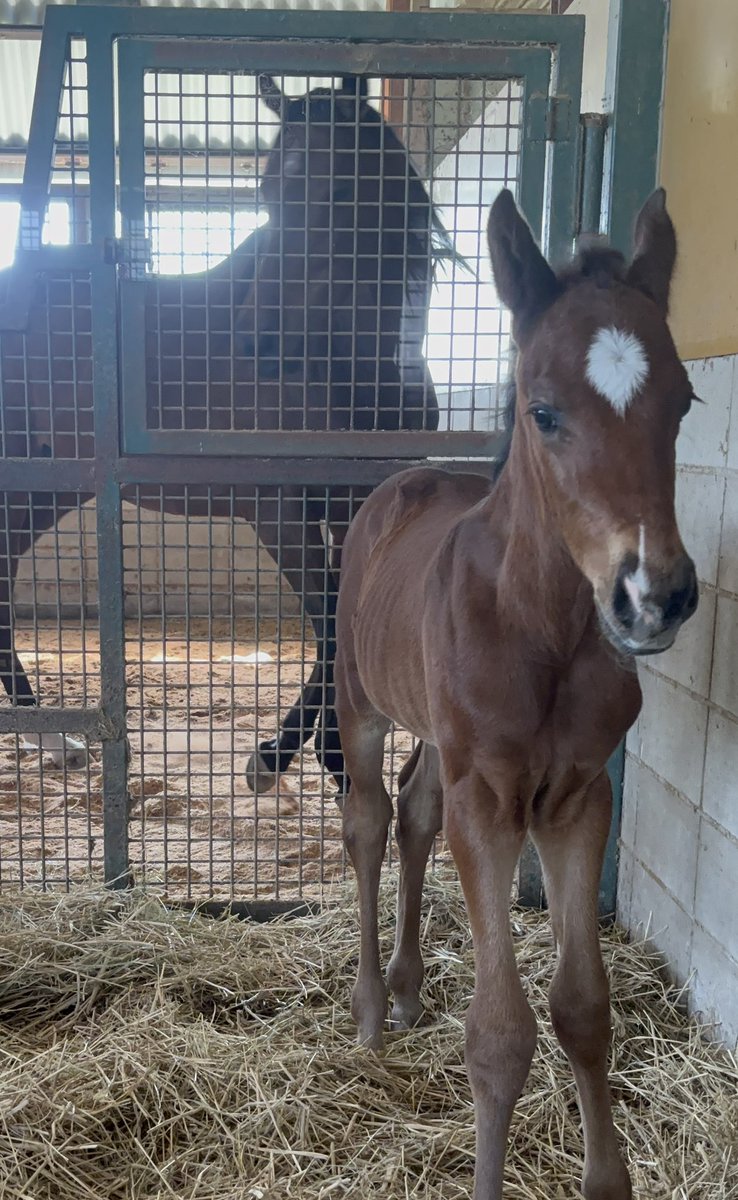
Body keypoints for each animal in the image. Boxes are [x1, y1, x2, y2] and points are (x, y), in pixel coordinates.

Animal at [0, 73, 452, 791]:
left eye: (342, 190)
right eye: (267, 192)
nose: (253, 340)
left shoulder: (357, 505)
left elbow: (342, 622)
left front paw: (317, 754)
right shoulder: (279, 513)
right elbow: (329, 622)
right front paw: (295, 757)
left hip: (44, 487)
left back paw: (52, 738)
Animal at [334, 187, 698, 1199]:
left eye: (685, 402)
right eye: (543, 411)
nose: (654, 596)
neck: (542, 627)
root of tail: (408, 482)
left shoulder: (578, 796)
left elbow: (583, 1008)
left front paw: (607, 1181)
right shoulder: (489, 803)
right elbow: (499, 1035)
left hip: (439, 740)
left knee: (414, 811)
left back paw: (408, 988)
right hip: (360, 702)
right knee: (369, 820)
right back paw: (372, 1008)